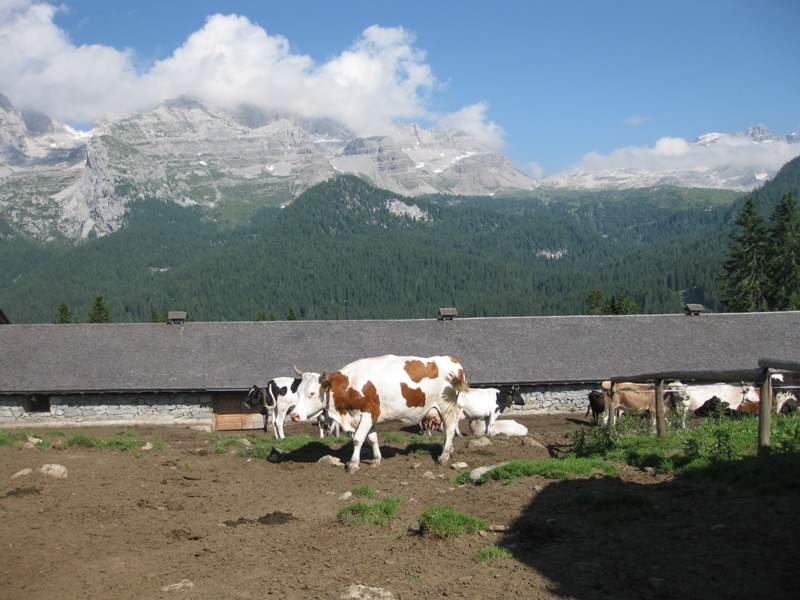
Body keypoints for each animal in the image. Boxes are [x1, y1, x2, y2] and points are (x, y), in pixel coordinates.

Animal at [290, 354, 466, 472]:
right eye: (297, 392)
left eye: (312, 393)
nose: (294, 415)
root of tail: (452, 360)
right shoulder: (367, 417)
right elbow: (372, 439)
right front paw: (376, 459)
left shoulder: (369, 413)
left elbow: (358, 439)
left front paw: (353, 464)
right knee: (448, 432)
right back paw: (450, 451)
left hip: (448, 407)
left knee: (450, 430)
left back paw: (443, 457)